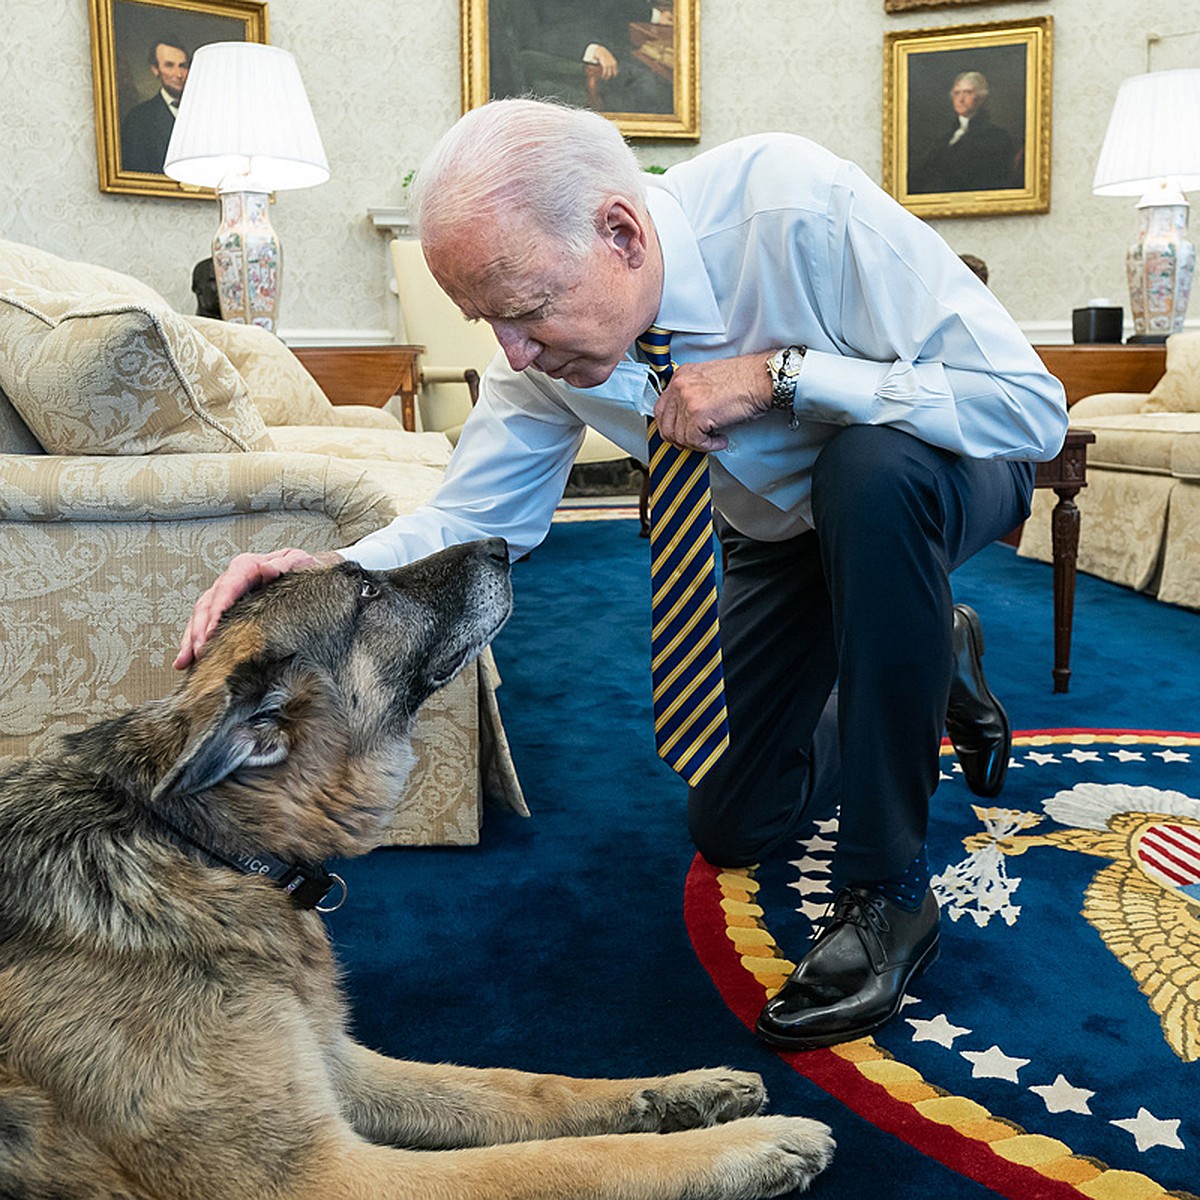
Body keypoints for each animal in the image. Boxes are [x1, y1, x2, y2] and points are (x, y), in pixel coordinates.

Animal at [0, 544, 835, 1200]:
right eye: (366, 593)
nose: (500, 544)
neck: (208, 846)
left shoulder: (340, 1066)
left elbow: (520, 1087)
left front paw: (681, 1093)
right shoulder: (321, 1177)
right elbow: (554, 1161)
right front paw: (744, 1147)